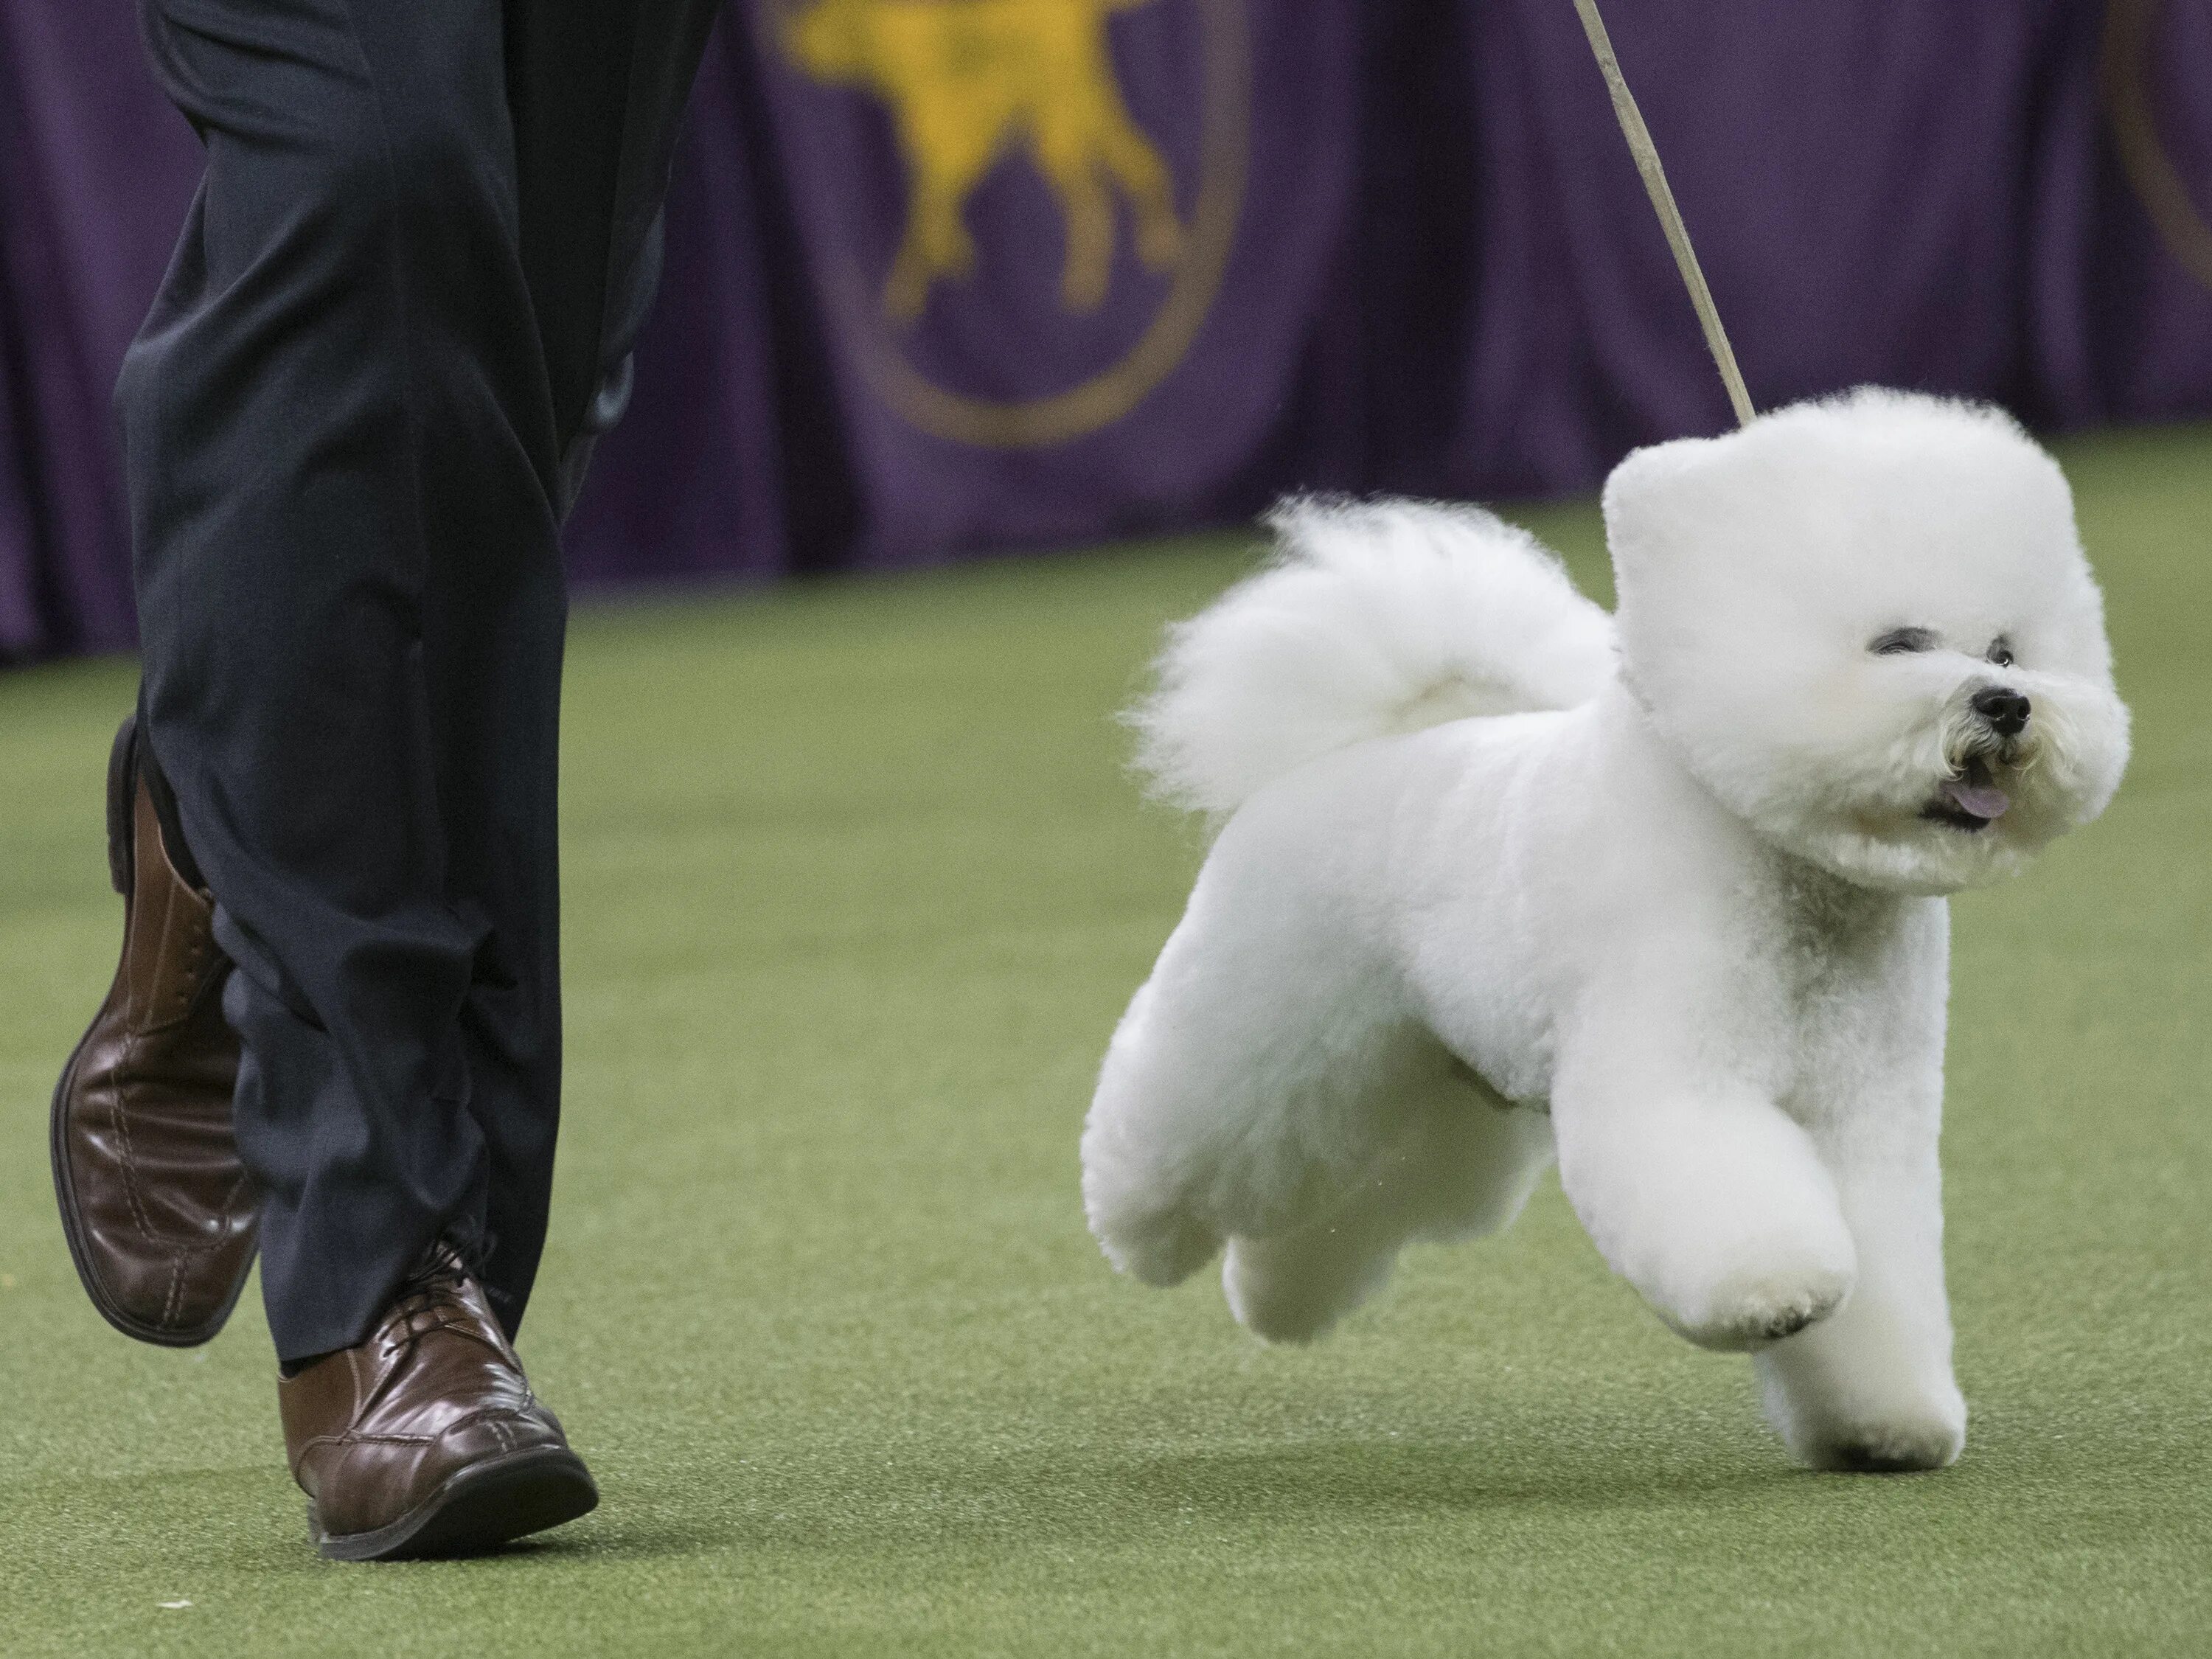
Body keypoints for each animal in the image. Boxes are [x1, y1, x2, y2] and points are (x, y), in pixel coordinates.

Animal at [1079, 394, 2132, 1478]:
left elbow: (1883, 1268)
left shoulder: (1862, 1118)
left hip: (1420, 1087)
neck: (1789, 875)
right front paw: (1777, 1292)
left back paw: (1274, 1297)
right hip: (1261, 1034)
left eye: (2006, 649)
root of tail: (1358, 751)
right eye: (1898, 644)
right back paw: (1133, 1229)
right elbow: (1736, 1208)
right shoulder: (1677, 1076)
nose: (2008, 705)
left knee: (1345, 1197)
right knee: (1180, 1135)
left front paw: (1887, 1420)